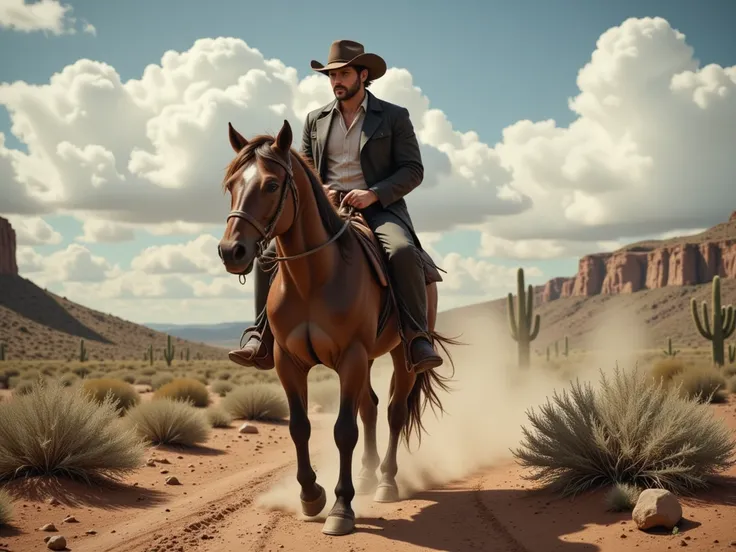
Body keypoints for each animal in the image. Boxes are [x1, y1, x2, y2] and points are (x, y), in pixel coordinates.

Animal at [216, 118, 458, 536]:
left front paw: (341, 508)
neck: (313, 278)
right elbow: (300, 426)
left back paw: (386, 482)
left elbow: (344, 431)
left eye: (271, 185)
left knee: (393, 412)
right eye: (231, 184)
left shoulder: (351, 357)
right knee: (371, 408)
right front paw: (311, 496)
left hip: (400, 355)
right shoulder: (288, 361)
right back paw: (366, 476)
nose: (232, 251)